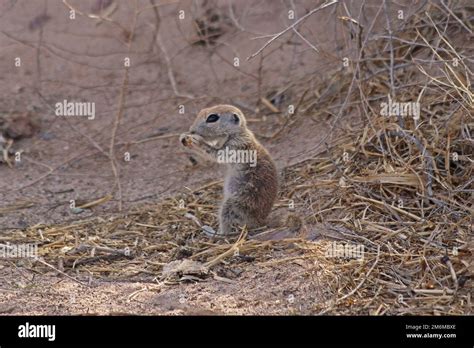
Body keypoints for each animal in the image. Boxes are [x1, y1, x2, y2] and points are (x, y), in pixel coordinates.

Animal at [181, 104, 278, 237]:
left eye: (212, 118)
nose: (192, 130)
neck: (237, 133)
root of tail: (260, 221)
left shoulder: (234, 146)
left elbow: (215, 153)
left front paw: (197, 141)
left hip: (231, 206)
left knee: (226, 229)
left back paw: (211, 232)